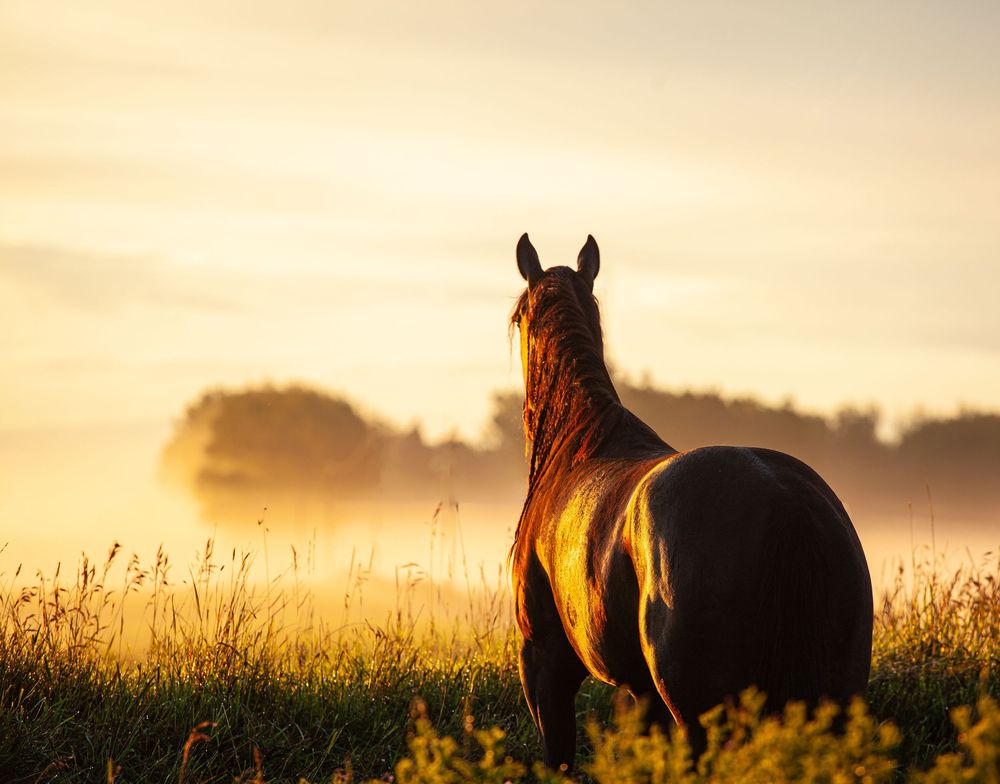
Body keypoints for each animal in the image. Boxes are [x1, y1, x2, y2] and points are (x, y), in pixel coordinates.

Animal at [509, 233, 873, 769]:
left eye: (518, 317)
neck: (577, 447)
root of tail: (785, 497)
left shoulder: (544, 662)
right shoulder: (640, 690)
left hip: (700, 708)